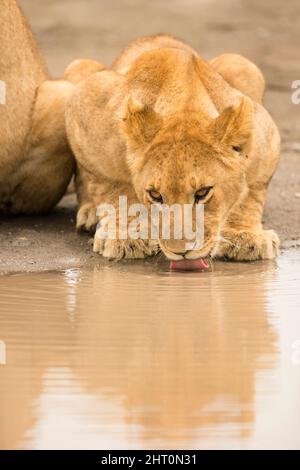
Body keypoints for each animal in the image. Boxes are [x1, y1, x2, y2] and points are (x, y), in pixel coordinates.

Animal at [65, 34, 282, 260]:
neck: (185, 102)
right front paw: (130, 237)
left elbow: (249, 195)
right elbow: (115, 187)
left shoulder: (266, 137)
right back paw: (91, 214)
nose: (182, 252)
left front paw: (244, 236)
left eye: (203, 193)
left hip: (242, 65)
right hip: (79, 67)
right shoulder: (87, 99)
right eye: (155, 195)